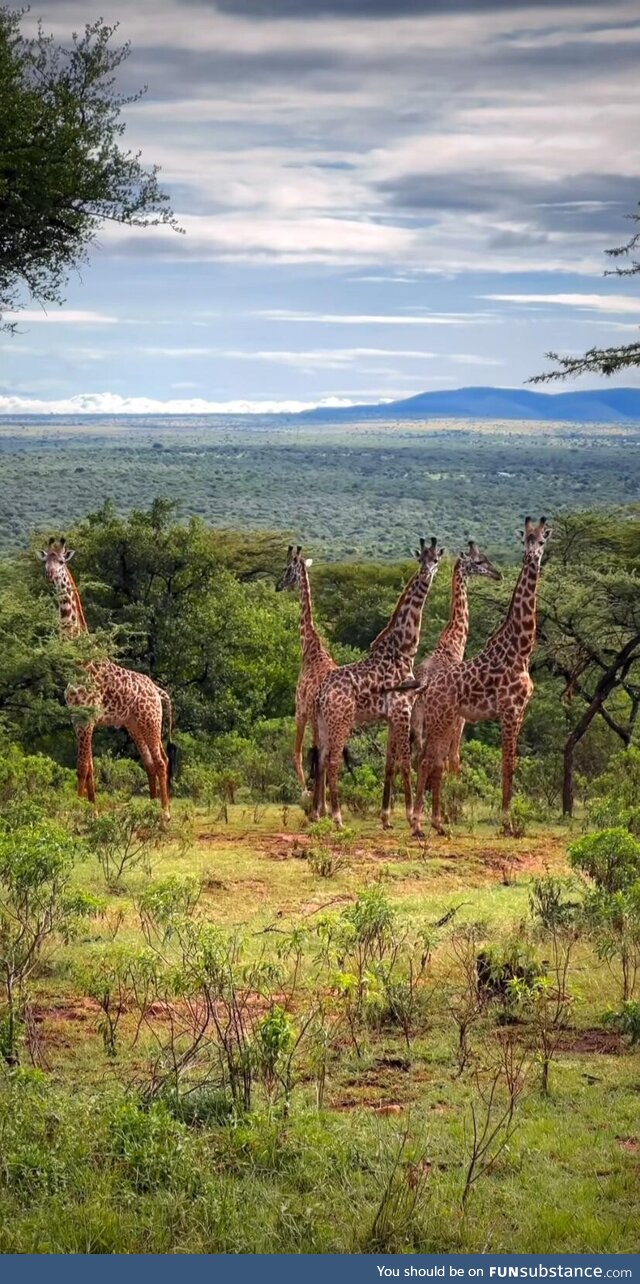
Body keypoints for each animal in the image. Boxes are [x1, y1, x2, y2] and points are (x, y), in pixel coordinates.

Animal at [39, 534, 174, 816]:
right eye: (45, 560)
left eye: (61, 560)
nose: (49, 574)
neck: (78, 662)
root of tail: (157, 690)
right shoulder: (77, 718)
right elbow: (89, 766)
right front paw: (92, 810)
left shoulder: (88, 718)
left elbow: (82, 767)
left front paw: (77, 810)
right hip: (134, 724)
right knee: (150, 762)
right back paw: (151, 807)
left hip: (151, 719)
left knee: (161, 760)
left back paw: (165, 813)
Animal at [311, 534, 442, 826]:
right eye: (421, 558)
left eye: (436, 559)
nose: (426, 573)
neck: (403, 651)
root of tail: (322, 692)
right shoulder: (402, 709)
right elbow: (404, 760)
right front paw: (410, 816)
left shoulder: (392, 715)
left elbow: (390, 762)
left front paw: (387, 818)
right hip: (342, 720)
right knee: (333, 761)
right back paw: (337, 817)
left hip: (325, 723)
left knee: (322, 759)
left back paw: (320, 814)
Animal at [411, 539, 503, 770]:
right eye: (479, 561)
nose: (498, 574)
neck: (452, 644)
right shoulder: (460, 719)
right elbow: (454, 758)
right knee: (434, 759)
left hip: (414, 722)